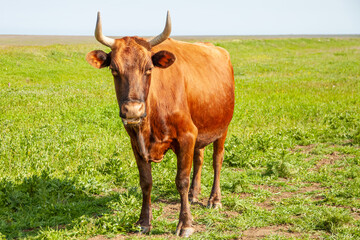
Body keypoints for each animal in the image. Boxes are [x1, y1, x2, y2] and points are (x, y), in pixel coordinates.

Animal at [86, 10, 235, 236]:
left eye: (149, 69)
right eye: (113, 69)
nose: (133, 110)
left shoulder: (186, 136)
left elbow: (181, 180)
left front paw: (185, 224)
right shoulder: (136, 142)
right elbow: (146, 182)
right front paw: (144, 221)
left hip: (222, 128)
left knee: (217, 160)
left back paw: (214, 199)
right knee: (199, 158)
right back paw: (194, 193)